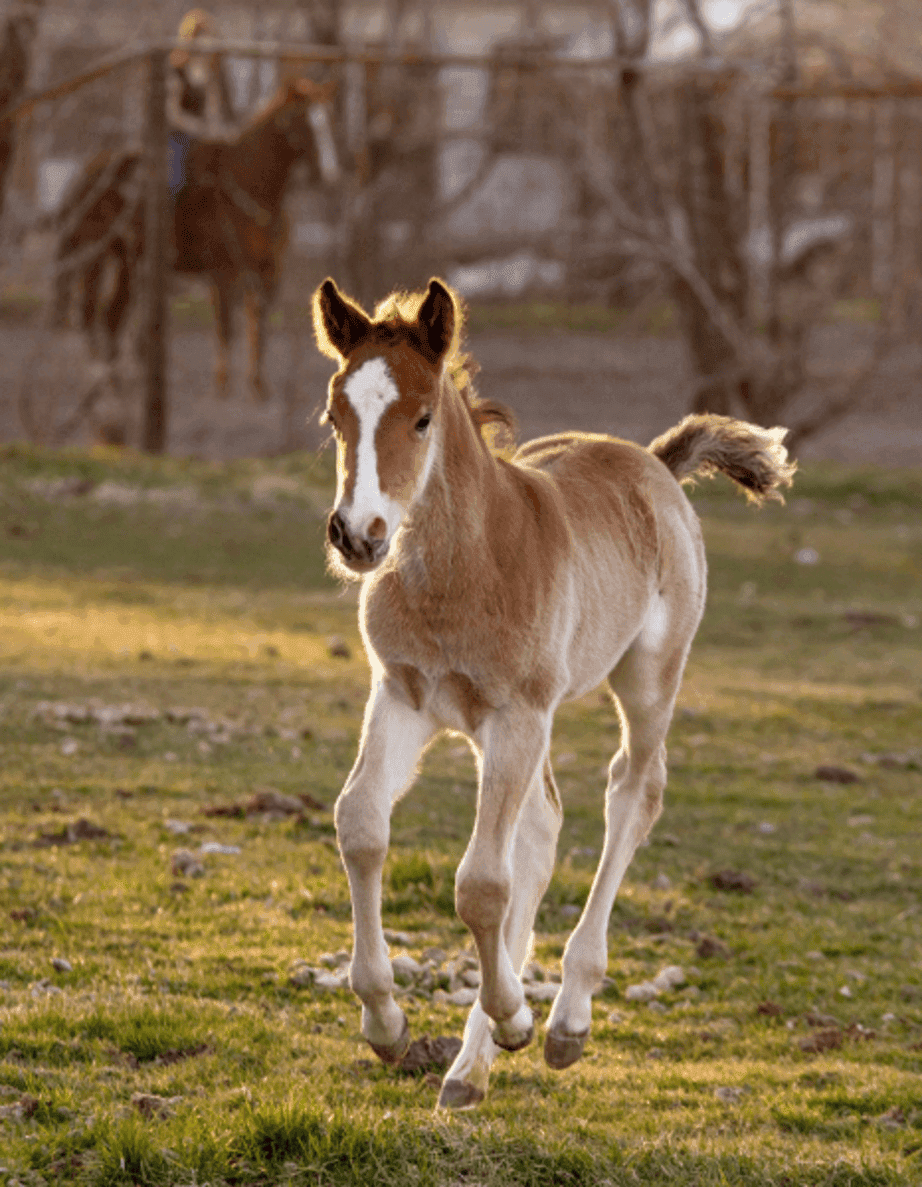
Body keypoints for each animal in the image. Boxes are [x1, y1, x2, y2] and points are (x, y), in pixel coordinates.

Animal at [53, 77, 339, 402]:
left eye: (328, 119)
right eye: (301, 119)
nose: (328, 173)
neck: (249, 183)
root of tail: (89, 173)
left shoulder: (266, 271)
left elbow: (258, 325)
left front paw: (257, 386)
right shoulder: (223, 273)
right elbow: (226, 326)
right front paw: (223, 386)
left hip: (126, 263)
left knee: (110, 318)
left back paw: (115, 384)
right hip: (95, 256)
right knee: (93, 315)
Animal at [312, 276, 795, 1109]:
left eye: (422, 416)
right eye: (336, 415)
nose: (358, 535)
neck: (458, 572)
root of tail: (654, 462)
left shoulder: (516, 712)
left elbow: (479, 883)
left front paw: (513, 1017)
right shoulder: (404, 698)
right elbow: (361, 824)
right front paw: (387, 1023)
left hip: (646, 680)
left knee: (630, 794)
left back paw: (565, 1018)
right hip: (510, 725)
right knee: (541, 825)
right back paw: (468, 1068)